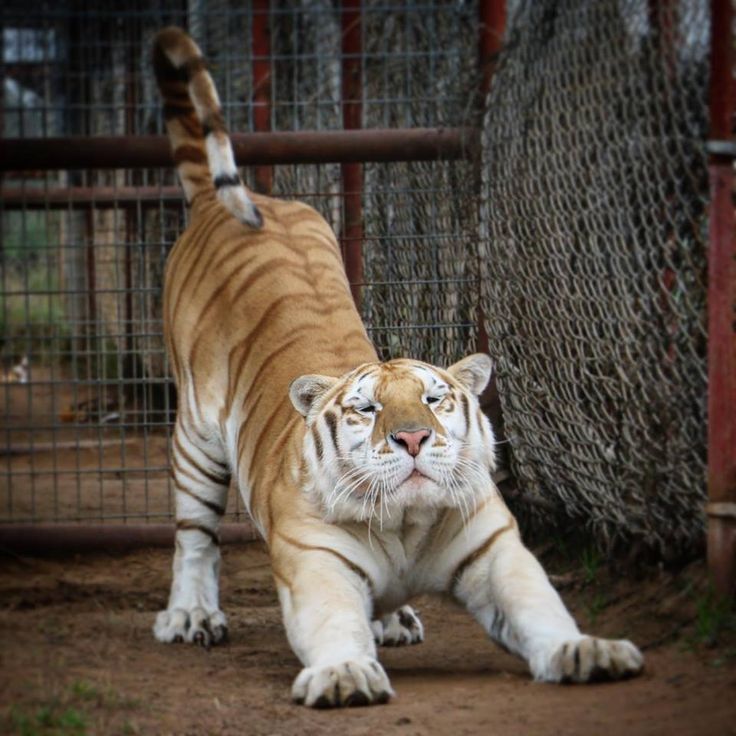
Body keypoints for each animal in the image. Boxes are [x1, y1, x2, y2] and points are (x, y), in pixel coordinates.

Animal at [152, 27, 640, 708]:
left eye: (434, 399)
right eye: (367, 408)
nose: (412, 439)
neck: (405, 525)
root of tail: (218, 208)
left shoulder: (496, 550)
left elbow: (541, 607)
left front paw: (584, 650)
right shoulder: (316, 561)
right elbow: (333, 622)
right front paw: (344, 673)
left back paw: (395, 618)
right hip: (196, 437)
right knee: (195, 535)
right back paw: (193, 615)